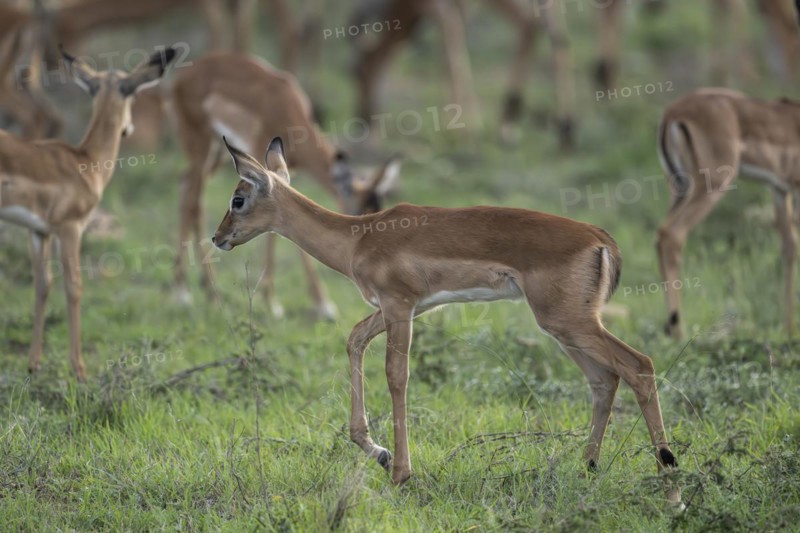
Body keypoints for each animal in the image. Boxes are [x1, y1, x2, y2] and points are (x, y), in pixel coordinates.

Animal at [0, 47, 176, 381]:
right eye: (134, 95)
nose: (128, 129)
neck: (86, 162)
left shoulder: (38, 231)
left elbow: (42, 285)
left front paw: (34, 364)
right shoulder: (71, 228)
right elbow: (74, 287)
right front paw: (79, 369)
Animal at [170, 51, 400, 317]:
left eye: (378, 209)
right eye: (361, 212)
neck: (286, 108)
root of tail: (186, 73)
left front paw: (322, 303)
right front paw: (274, 303)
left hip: (217, 153)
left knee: (187, 188)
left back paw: (208, 291)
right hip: (201, 146)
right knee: (191, 198)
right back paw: (183, 293)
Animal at [211, 137, 682, 502]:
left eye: (238, 198)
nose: (217, 238)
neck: (358, 238)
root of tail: (601, 239)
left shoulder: (399, 306)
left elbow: (396, 374)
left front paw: (400, 473)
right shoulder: (406, 307)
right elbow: (353, 339)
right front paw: (378, 452)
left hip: (570, 323)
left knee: (639, 366)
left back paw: (672, 485)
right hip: (566, 328)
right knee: (605, 379)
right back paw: (588, 468)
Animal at [657, 88, 800, 338]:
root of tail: (672, 113)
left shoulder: (780, 190)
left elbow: (789, 247)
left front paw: (789, 328)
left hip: (679, 188)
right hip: (711, 185)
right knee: (671, 234)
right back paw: (678, 331)